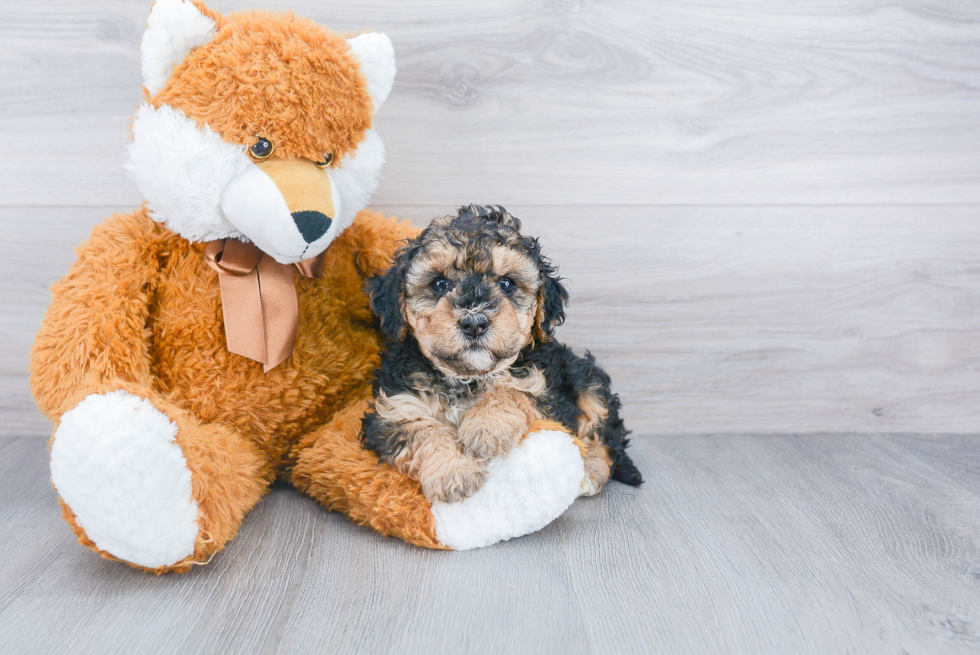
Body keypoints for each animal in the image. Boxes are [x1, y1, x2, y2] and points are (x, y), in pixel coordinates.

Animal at [360, 205, 644, 502]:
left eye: (507, 283)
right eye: (439, 284)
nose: (474, 322)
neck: (467, 377)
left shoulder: (547, 391)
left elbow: (512, 390)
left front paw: (485, 429)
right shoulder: (394, 410)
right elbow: (421, 432)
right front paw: (453, 473)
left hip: (590, 380)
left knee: (603, 436)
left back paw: (590, 471)